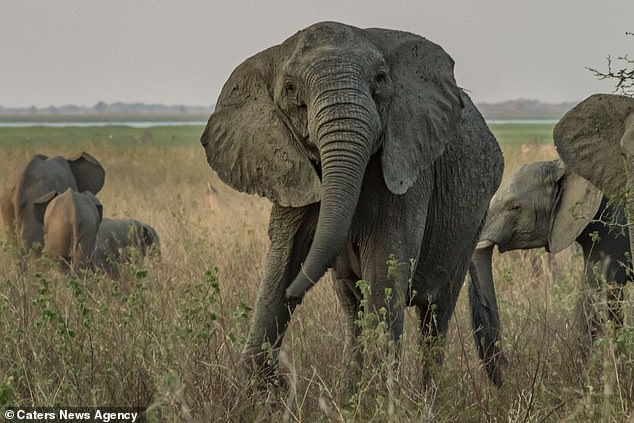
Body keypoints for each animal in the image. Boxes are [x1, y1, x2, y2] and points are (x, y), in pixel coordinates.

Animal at [200, 21, 502, 390]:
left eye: (381, 79)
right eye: (290, 88)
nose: (294, 293)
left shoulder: (407, 163)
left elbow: (386, 262)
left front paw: (376, 397)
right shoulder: (291, 169)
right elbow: (283, 255)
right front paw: (263, 390)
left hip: (472, 218)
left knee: (435, 313)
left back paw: (426, 397)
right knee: (351, 306)